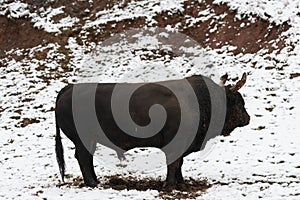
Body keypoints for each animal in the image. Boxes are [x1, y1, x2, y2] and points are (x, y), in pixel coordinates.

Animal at [55, 73, 250, 188]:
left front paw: (181, 183)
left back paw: (96, 181)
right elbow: (174, 164)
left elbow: (179, 164)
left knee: (87, 159)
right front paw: (170, 185)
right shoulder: (175, 145)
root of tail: (69, 88)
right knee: (83, 159)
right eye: (238, 101)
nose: (247, 118)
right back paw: (92, 183)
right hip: (84, 141)